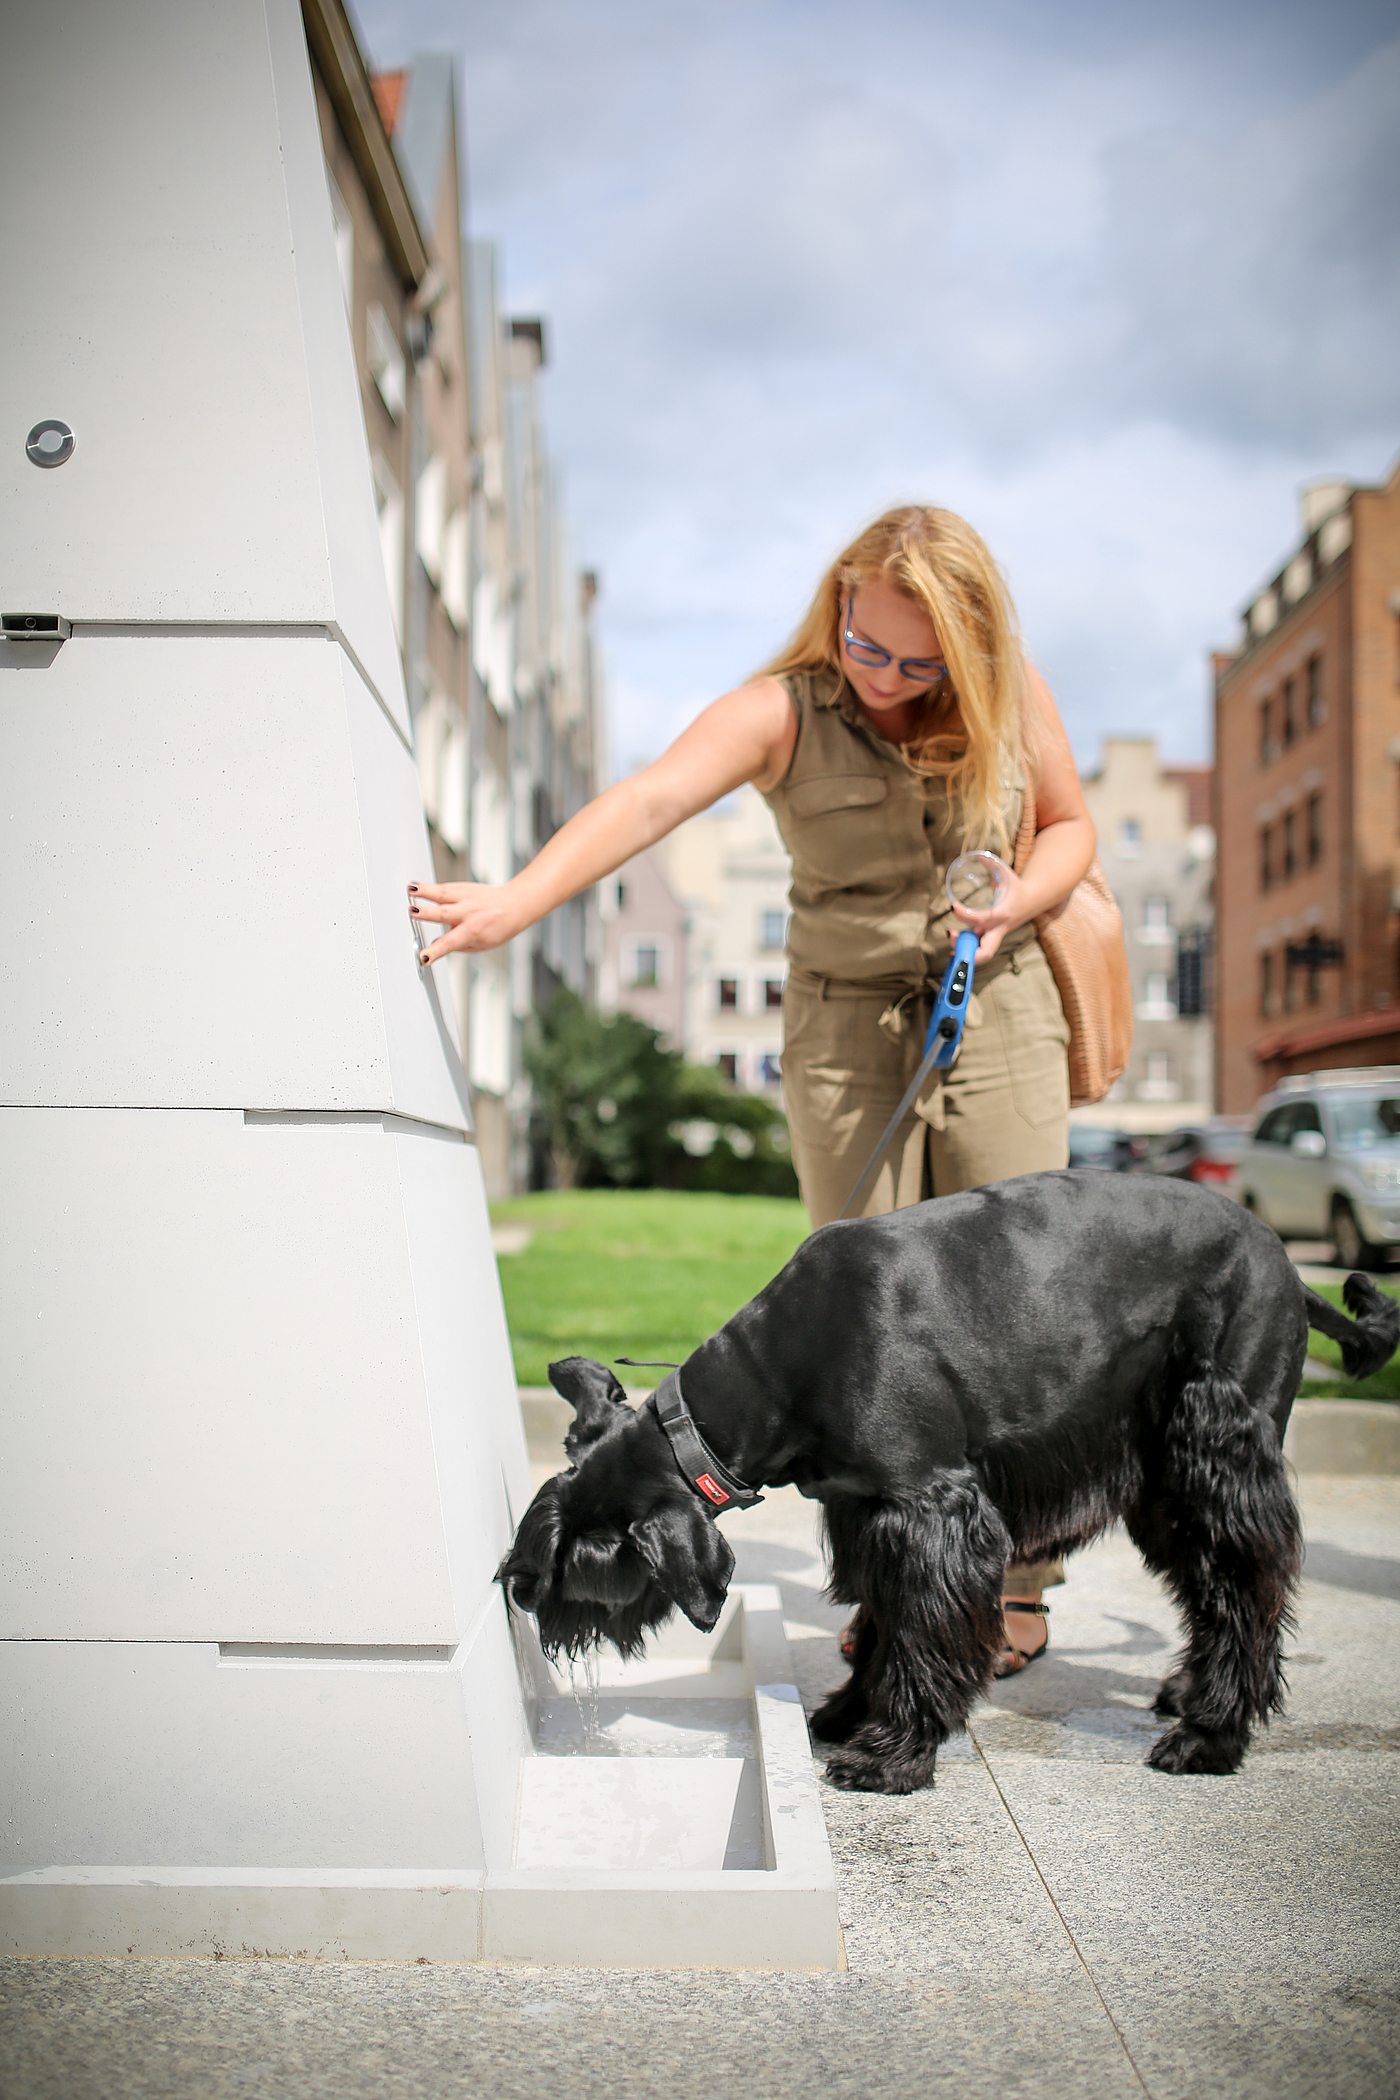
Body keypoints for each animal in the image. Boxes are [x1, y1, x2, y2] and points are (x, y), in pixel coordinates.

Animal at [497, 1176, 1393, 1797]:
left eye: (591, 1557)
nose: (520, 1589)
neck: (777, 1371)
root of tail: (1289, 1263)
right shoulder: (869, 1512)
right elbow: (884, 1617)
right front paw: (850, 1713)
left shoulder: (934, 1510)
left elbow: (923, 1630)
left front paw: (891, 1756)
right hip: (1164, 1486)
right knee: (1213, 1590)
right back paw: (1187, 1693)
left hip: (1217, 1456)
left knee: (1246, 1582)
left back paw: (1211, 1736)